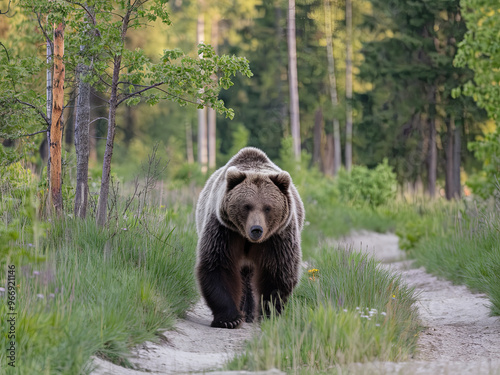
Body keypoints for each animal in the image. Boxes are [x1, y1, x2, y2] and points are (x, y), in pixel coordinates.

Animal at [195, 147, 304, 328]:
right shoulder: (225, 230)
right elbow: (218, 264)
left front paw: (269, 313)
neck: (248, 239)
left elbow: (277, 271)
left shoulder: (277, 237)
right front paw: (229, 318)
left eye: (268, 207)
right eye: (247, 206)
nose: (256, 229)